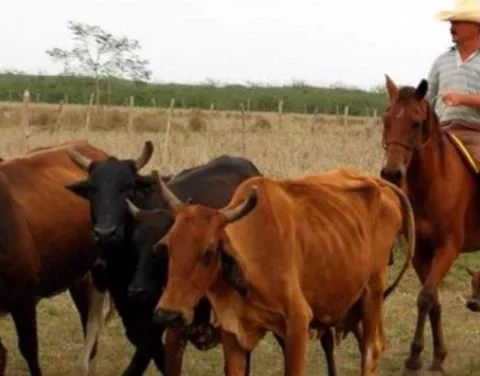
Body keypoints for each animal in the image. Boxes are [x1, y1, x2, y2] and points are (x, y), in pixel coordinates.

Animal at [63, 142, 262, 376]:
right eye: (91, 189)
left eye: (128, 187)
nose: (105, 233)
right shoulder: (130, 313)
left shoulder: (158, 318)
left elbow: (140, 361)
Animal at [128, 168, 416, 376]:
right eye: (167, 247)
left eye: (209, 252)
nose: (168, 314)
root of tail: (380, 184)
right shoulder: (234, 335)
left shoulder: (298, 324)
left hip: (372, 292)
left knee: (371, 350)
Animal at [380, 75, 480, 374]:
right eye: (386, 119)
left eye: (416, 122)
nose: (391, 173)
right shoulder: (420, 253)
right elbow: (433, 300)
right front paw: (436, 357)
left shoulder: (448, 249)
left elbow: (425, 297)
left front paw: (414, 358)